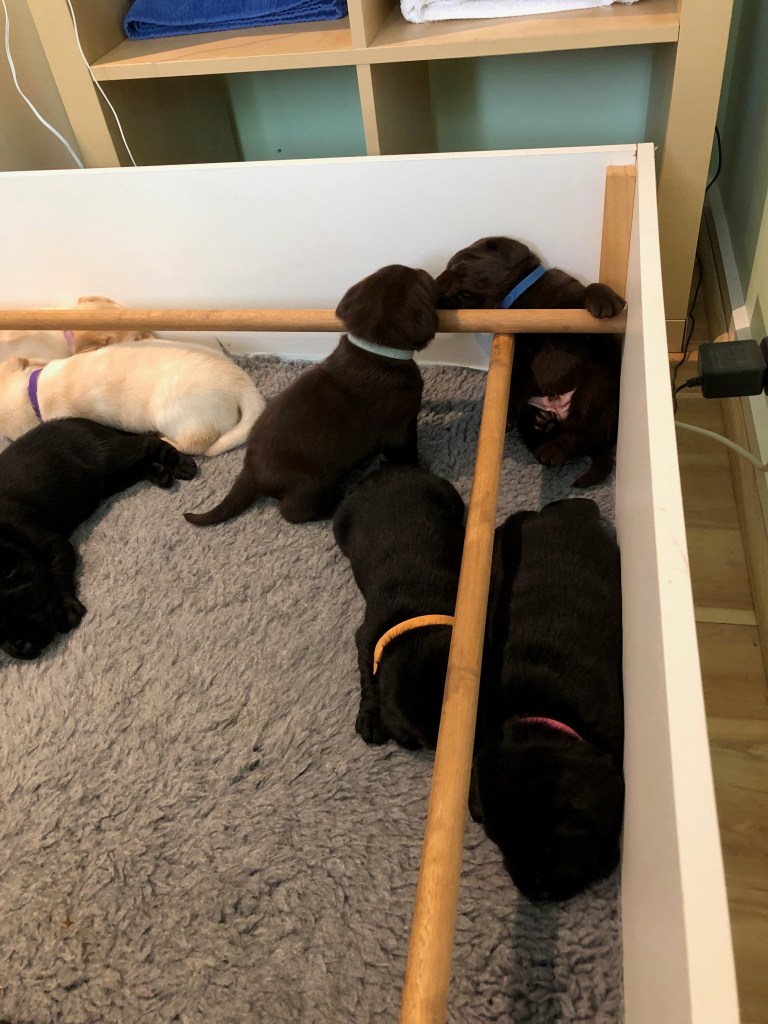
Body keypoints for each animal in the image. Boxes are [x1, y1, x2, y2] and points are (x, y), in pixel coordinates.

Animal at [0, 418, 197, 660]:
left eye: (14, 608)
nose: (18, 649)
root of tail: (86, 422)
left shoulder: (53, 544)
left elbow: (57, 575)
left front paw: (66, 609)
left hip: (108, 455)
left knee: (146, 443)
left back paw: (179, 463)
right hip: (107, 481)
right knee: (134, 468)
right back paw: (159, 472)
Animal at [185, 264, 439, 526]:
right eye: (418, 276)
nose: (424, 269)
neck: (373, 350)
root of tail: (250, 472)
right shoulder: (401, 430)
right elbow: (408, 452)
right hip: (312, 485)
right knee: (293, 512)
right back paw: (334, 504)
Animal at [333, 466, 465, 749]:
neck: (419, 615)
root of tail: (384, 472)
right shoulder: (366, 638)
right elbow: (368, 678)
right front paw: (370, 718)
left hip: (446, 492)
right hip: (339, 524)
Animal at [436, 237, 623, 486]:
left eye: (458, 264)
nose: (434, 281)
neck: (519, 298)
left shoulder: (585, 327)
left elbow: (589, 290)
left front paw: (605, 299)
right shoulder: (521, 358)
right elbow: (514, 386)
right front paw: (506, 416)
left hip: (595, 387)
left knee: (579, 431)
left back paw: (553, 449)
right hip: (538, 406)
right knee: (540, 432)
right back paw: (542, 424)